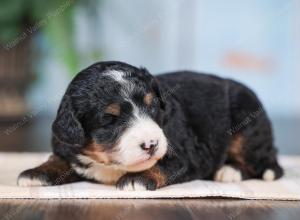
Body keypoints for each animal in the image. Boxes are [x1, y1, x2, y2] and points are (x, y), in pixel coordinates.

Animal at [17, 61, 284, 190]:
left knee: (262, 162)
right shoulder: (67, 146)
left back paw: (230, 171)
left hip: (247, 127)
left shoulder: (187, 154)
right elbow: (57, 160)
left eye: (153, 106)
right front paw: (35, 173)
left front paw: (137, 179)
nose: (151, 144)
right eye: (109, 119)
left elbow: (162, 165)